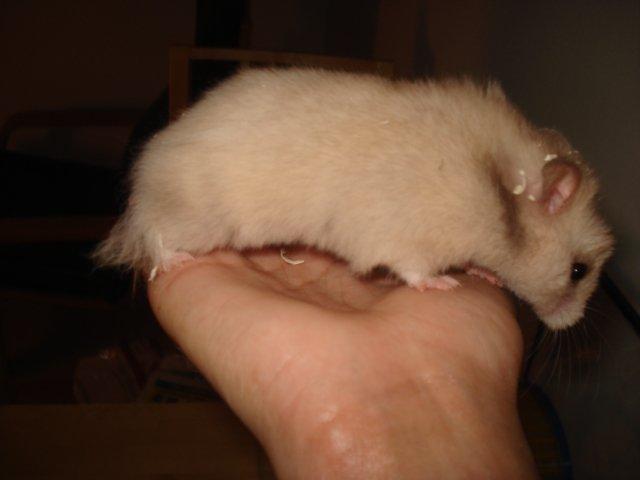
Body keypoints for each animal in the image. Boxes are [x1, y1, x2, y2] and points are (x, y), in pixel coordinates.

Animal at [94, 68, 613, 330]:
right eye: (579, 271)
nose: (568, 324)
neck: (496, 190)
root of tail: (149, 169)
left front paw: (481, 273)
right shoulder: (408, 242)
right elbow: (416, 271)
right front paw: (444, 285)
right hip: (195, 216)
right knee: (154, 233)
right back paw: (175, 259)